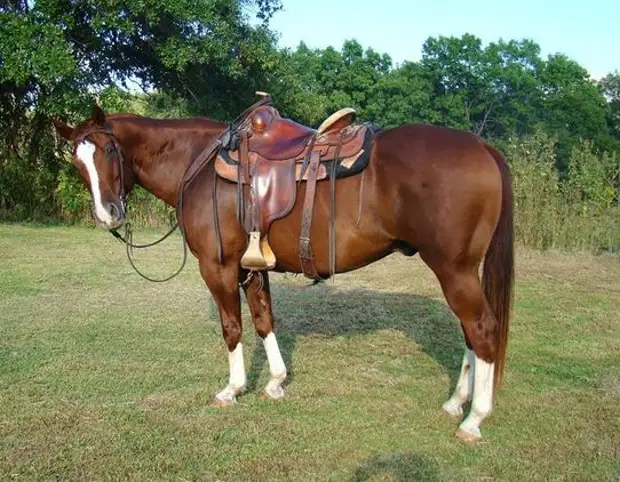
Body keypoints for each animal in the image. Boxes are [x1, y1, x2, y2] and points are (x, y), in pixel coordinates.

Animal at [53, 103, 512, 442]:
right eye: (76, 162)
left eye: (110, 152)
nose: (107, 214)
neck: (198, 165)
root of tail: (483, 147)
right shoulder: (250, 267)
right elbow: (263, 320)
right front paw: (275, 382)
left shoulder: (217, 267)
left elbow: (232, 328)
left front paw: (233, 389)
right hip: (458, 272)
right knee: (470, 334)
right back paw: (456, 402)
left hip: (454, 270)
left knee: (483, 329)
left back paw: (474, 418)